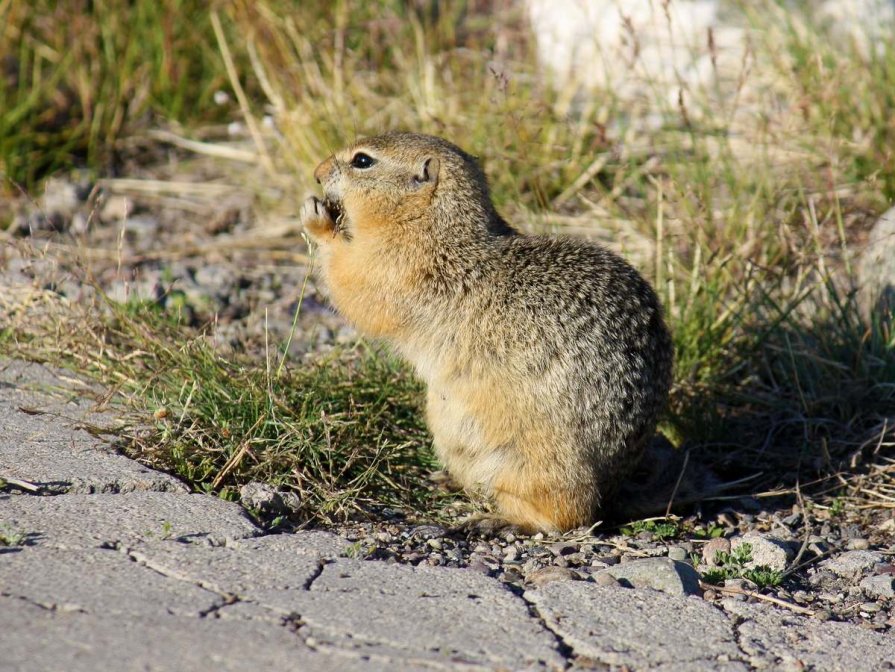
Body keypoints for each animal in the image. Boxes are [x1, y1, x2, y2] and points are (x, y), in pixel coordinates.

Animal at [300, 133, 672, 532]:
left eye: (363, 161)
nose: (317, 173)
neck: (434, 225)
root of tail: (615, 486)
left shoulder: (392, 269)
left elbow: (351, 283)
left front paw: (317, 217)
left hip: (533, 463)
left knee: (568, 516)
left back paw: (497, 519)